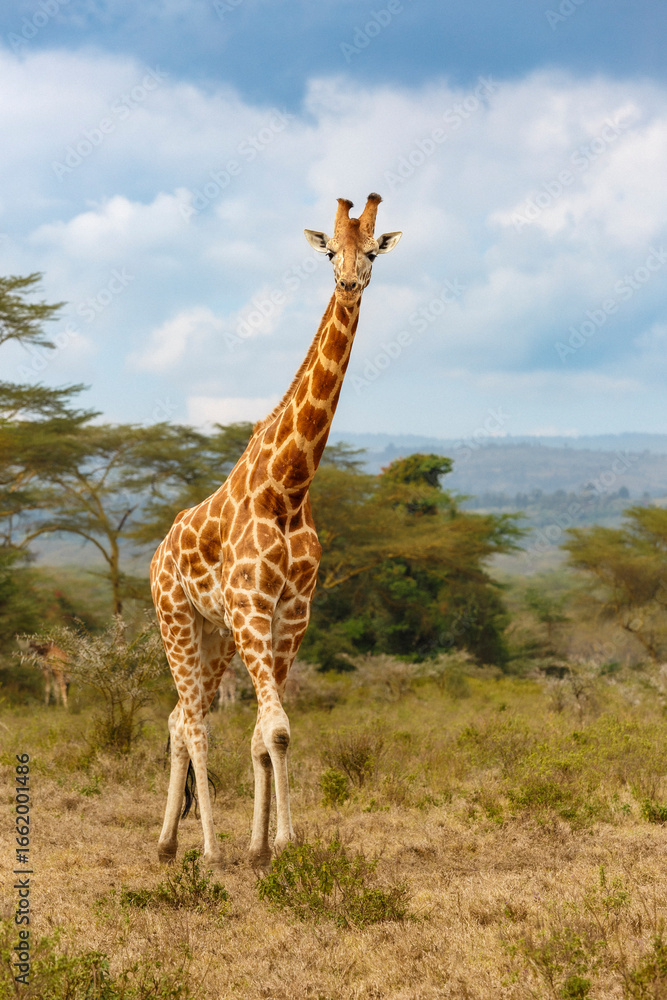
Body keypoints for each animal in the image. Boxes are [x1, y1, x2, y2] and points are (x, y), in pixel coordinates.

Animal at [151, 193, 402, 869]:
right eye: (329, 252)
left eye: (372, 253)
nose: (350, 282)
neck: (288, 487)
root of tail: (157, 552)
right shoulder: (252, 605)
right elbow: (278, 729)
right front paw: (280, 844)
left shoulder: (292, 611)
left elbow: (268, 733)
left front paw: (264, 847)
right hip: (176, 619)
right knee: (194, 722)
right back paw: (208, 853)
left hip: (213, 634)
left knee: (180, 716)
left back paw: (168, 843)